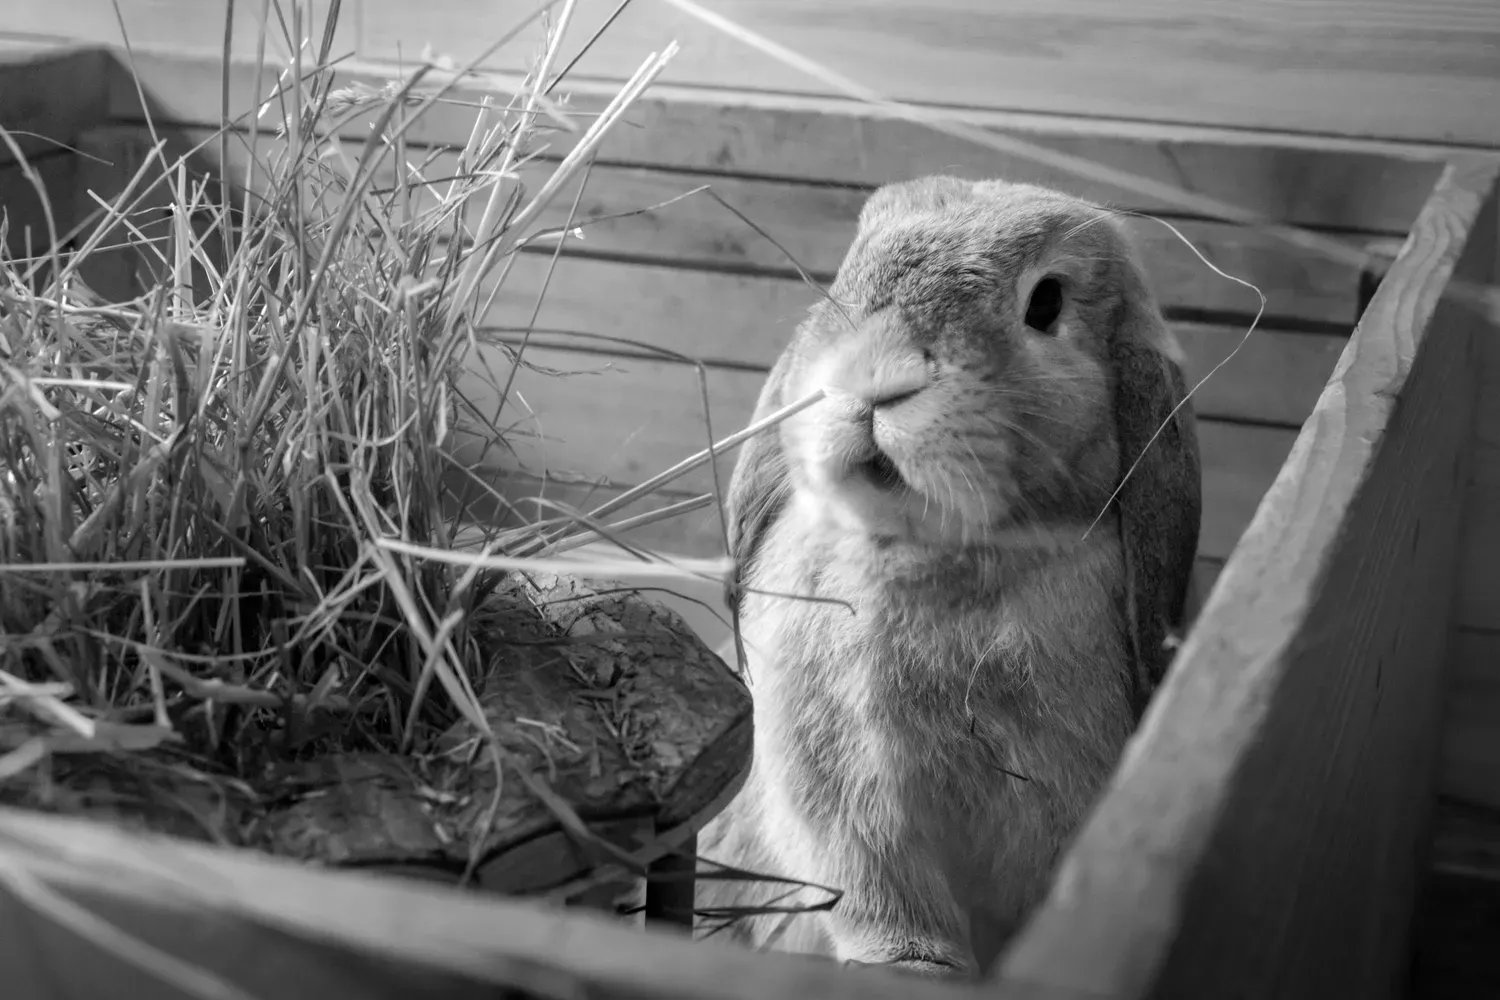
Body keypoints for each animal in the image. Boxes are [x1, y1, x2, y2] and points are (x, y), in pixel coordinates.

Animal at [691, 175, 1202, 980]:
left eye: (1046, 303)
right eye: (850, 270)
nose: (875, 380)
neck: (936, 552)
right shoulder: (846, 788)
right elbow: (878, 886)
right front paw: (909, 967)